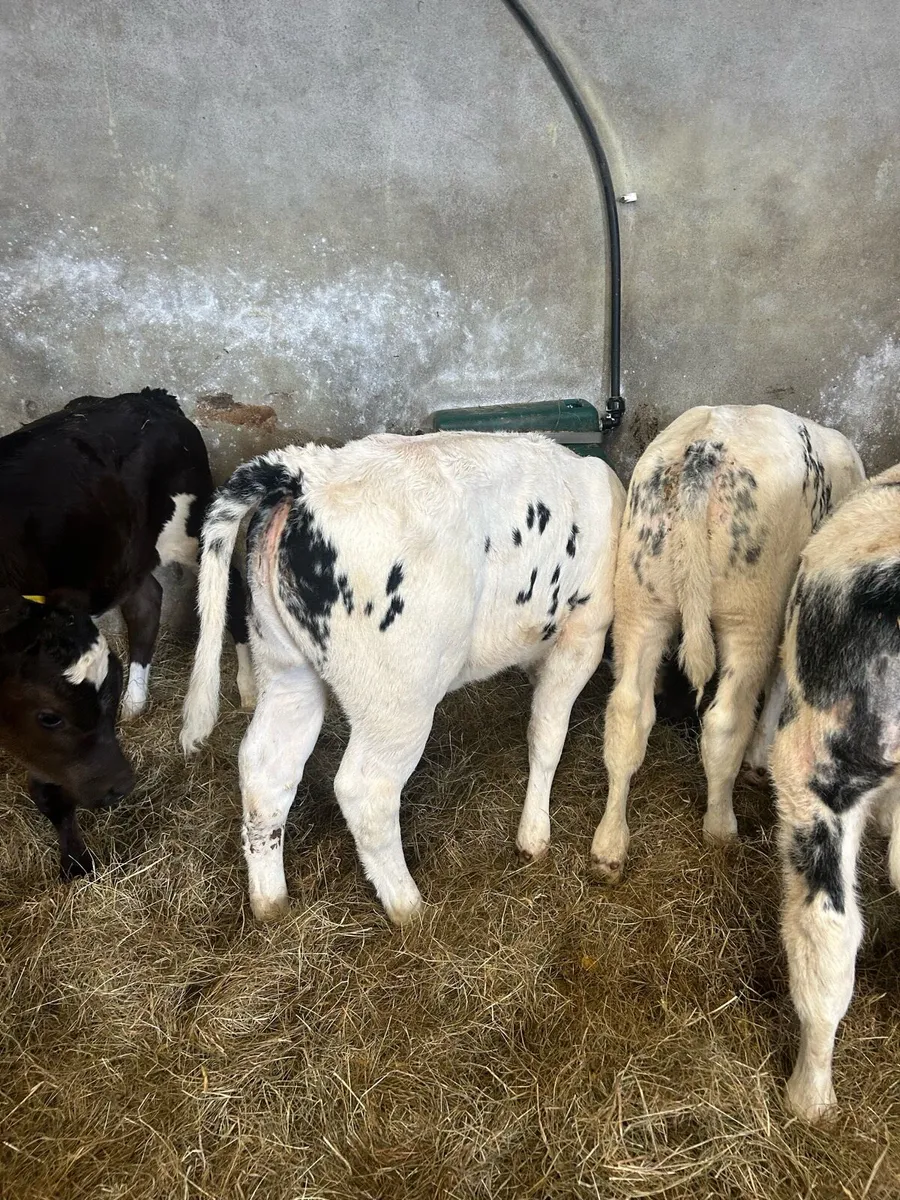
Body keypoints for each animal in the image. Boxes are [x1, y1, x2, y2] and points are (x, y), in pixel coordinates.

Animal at [0, 388, 254, 879]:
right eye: (49, 716)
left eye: (106, 693)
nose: (120, 786)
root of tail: (150, 399)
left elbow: (50, 791)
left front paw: (77, 863)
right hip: (128, 556)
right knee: (146, 601)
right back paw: (138, 702)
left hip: (190, 527)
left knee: (230, 590)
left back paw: (248, 685)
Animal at [180, 430, 625, 924]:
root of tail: (304, 472)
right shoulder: (585, 631)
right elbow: (547, 736)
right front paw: (534, 836)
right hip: (399, 698)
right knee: (364, 791)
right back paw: (409, 907)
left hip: (284, 666)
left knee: (266, 768)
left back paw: (271, 902)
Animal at [589, 404, 865, 883]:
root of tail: (706, 450)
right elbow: (779, 684)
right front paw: (758, 757)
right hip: (750, 608)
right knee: (725, 720)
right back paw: (720, 827)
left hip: (641, 594)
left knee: (628, 711)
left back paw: (609, 845)